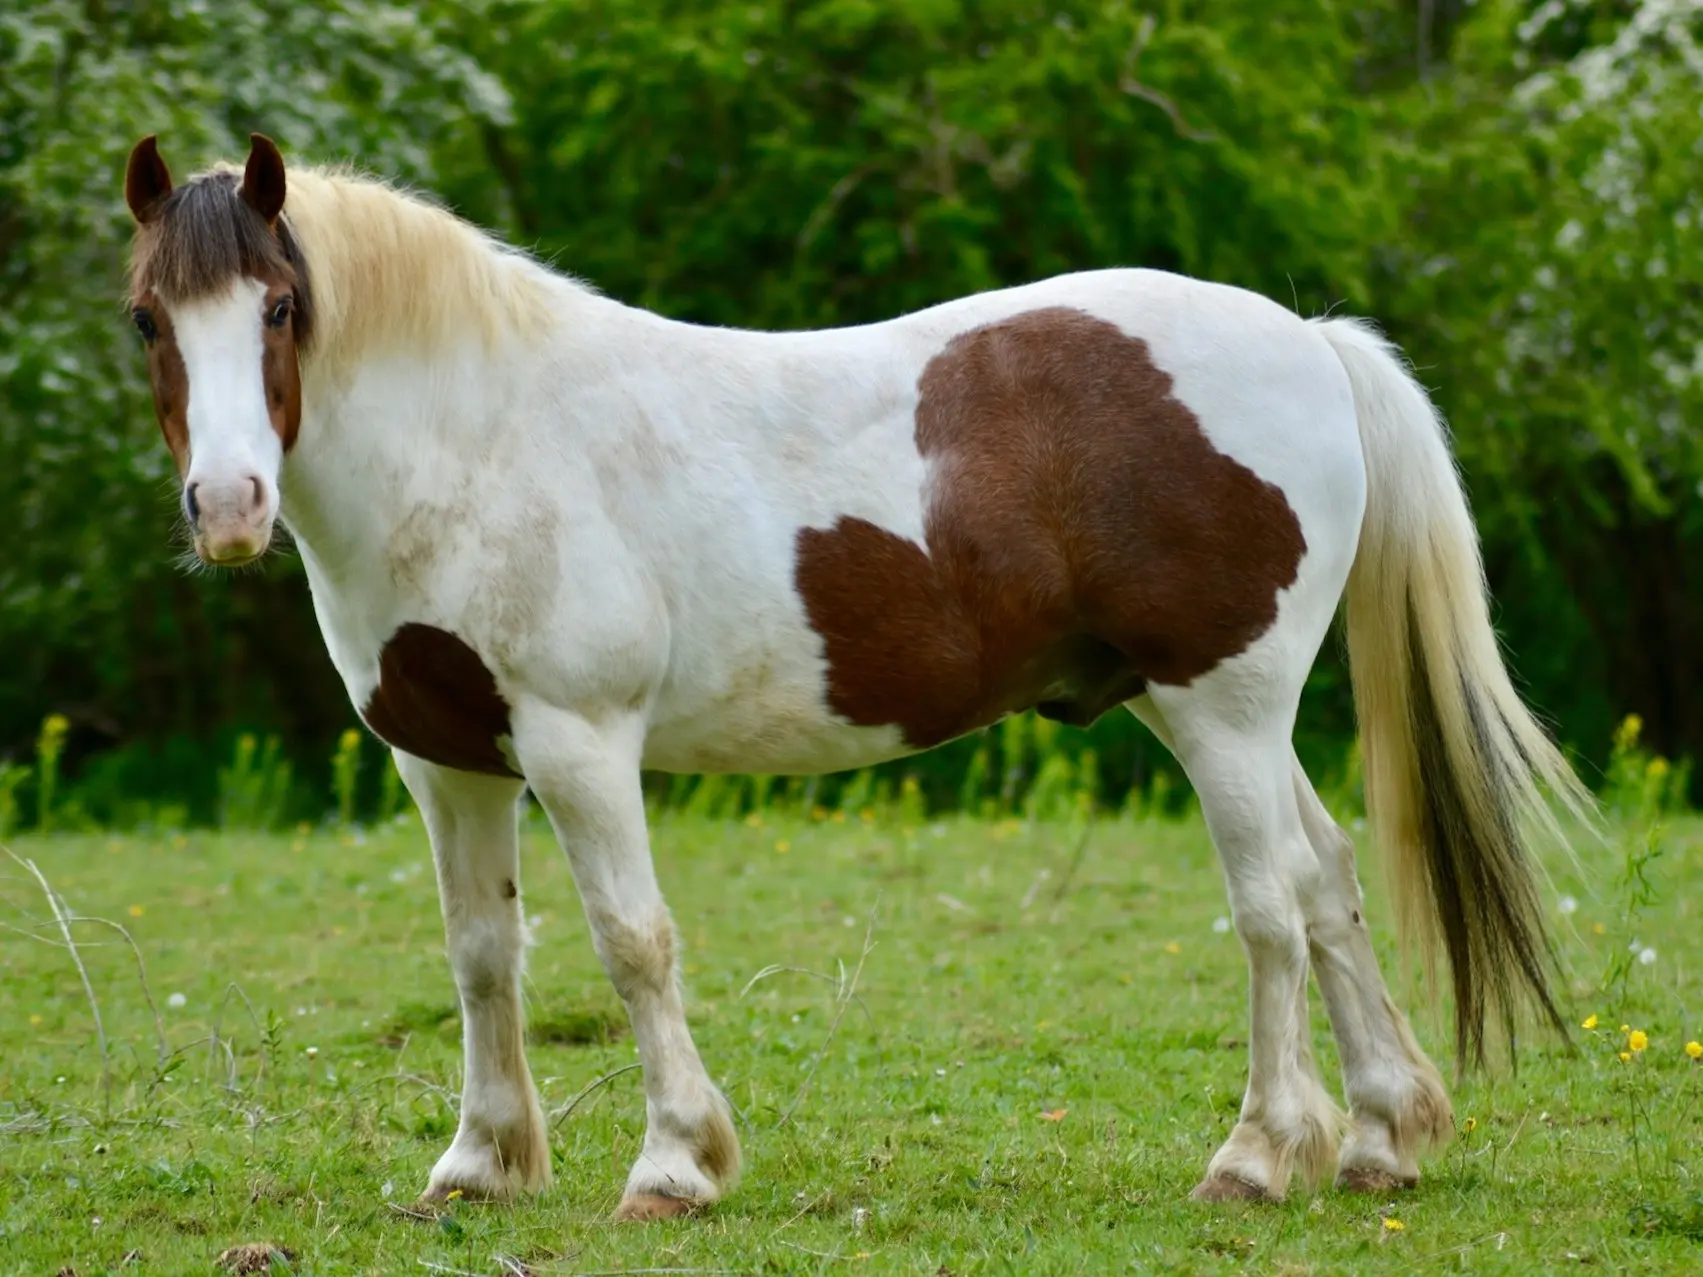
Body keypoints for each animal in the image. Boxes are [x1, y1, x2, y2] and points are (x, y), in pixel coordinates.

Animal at [123, 135, 1594, 1225]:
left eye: (279, 306)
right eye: (148, 317)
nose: (229, 506)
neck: (474, 442)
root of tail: (1308, 338)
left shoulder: (577, 741)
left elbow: (631, 942)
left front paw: (673, 1164)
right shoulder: (447, 760)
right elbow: (483, 955)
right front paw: (477, 1163)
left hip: (1218, 705)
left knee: (1273, 910)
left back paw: (1254, 1155)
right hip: (1214, 708)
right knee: (1331, 883)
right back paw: (1378, 1138)